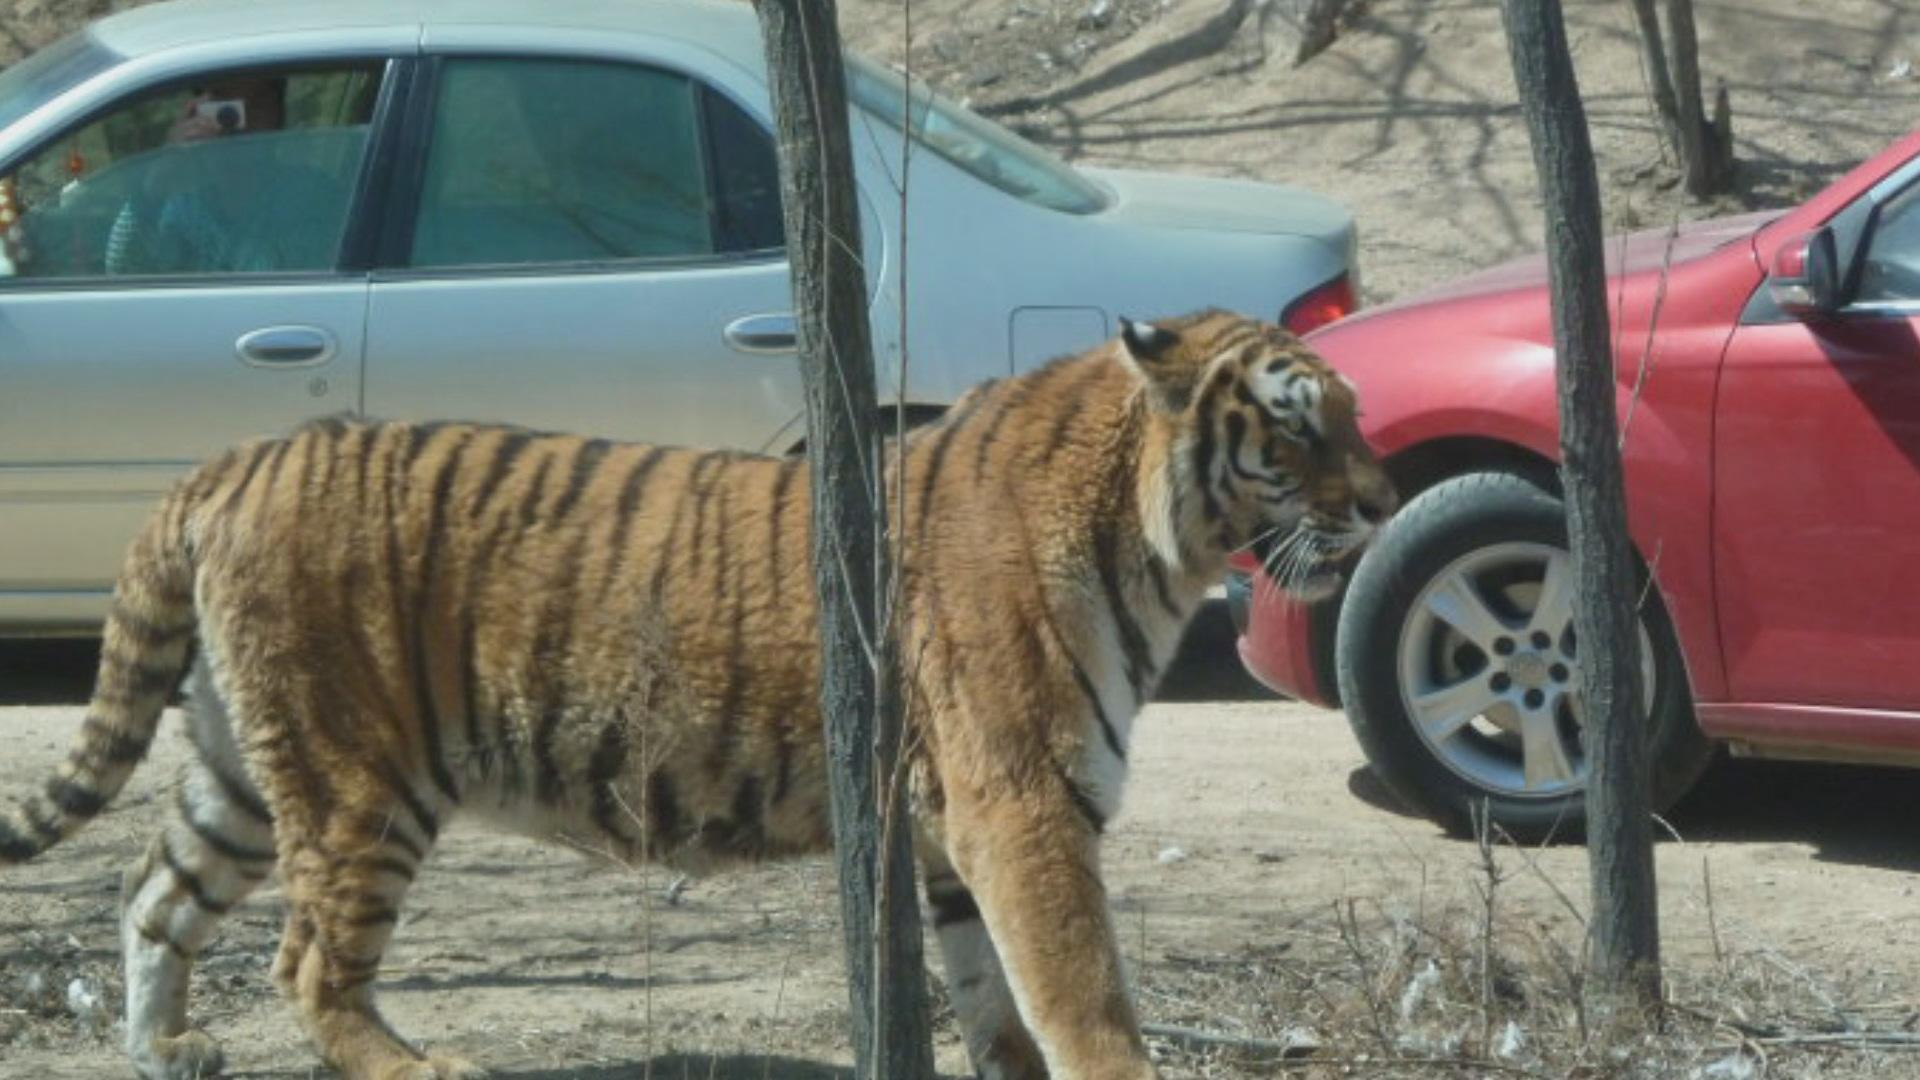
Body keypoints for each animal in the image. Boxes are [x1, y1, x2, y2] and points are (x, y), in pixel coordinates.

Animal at [0, 307, 1390, 1076]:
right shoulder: (1022, 804)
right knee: (304, 964)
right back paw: (421, 1067)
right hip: (358, 779)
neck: (1155, 547)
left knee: (154, 896)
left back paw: (166, 1050)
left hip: (248, 767)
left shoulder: (955, 829)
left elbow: (997, 1008)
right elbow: (1081, 995)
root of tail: (228, 461)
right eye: (1298, 426)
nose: (1384, 502)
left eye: (1355, 415)